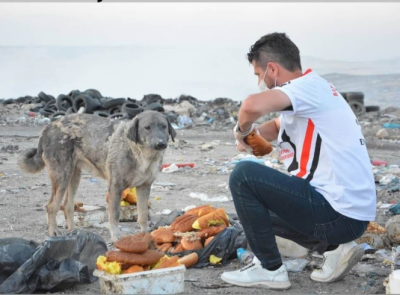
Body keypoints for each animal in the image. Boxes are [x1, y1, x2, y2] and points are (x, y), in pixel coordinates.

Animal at [18, 111, 175, 243]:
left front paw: (146, 235)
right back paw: (54, 232)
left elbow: (142, 215)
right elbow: (115, 216)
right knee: (51, 206)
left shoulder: (144, 187)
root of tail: (49, 126)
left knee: (67, 205)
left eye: (164, 127)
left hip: (74, 176)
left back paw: (73, 231)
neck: (141, 154)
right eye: (147, 127)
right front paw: (116, 238)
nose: (161, 143)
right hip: (62, 177)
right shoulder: (115, 188)